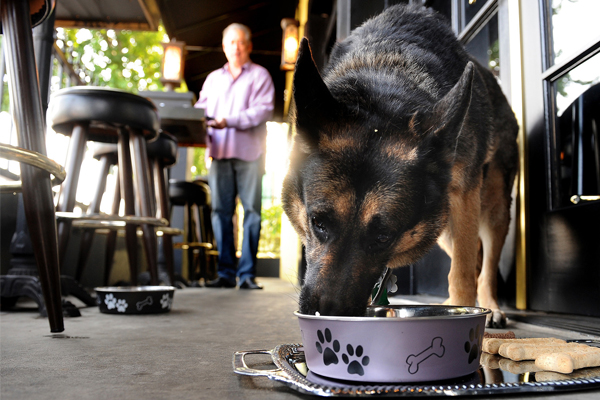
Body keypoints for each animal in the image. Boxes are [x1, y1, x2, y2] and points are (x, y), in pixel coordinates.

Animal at [284, 3, 516, 328]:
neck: (385, 79)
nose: (326, 313)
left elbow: (462, 273)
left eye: (384, 237)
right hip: (443, 226)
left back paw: (489, 306)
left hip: (490, 208)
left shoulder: (464, 196)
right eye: (318, 223)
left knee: (485, 265)